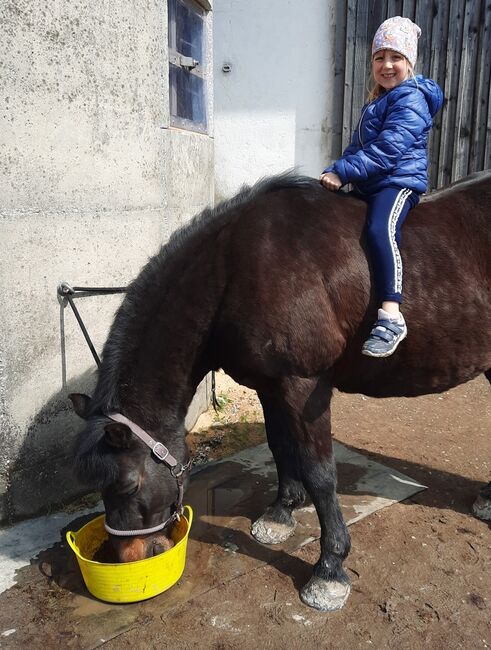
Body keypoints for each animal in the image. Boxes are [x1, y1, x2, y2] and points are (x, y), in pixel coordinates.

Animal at [70, 170, 491, 612]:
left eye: (128, 486)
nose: (126, 558)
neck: (236, 268)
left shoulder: (304, 386)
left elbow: (320, 472)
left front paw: (329, 568)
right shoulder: (270, 386)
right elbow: (279, 446)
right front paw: (281, 513)